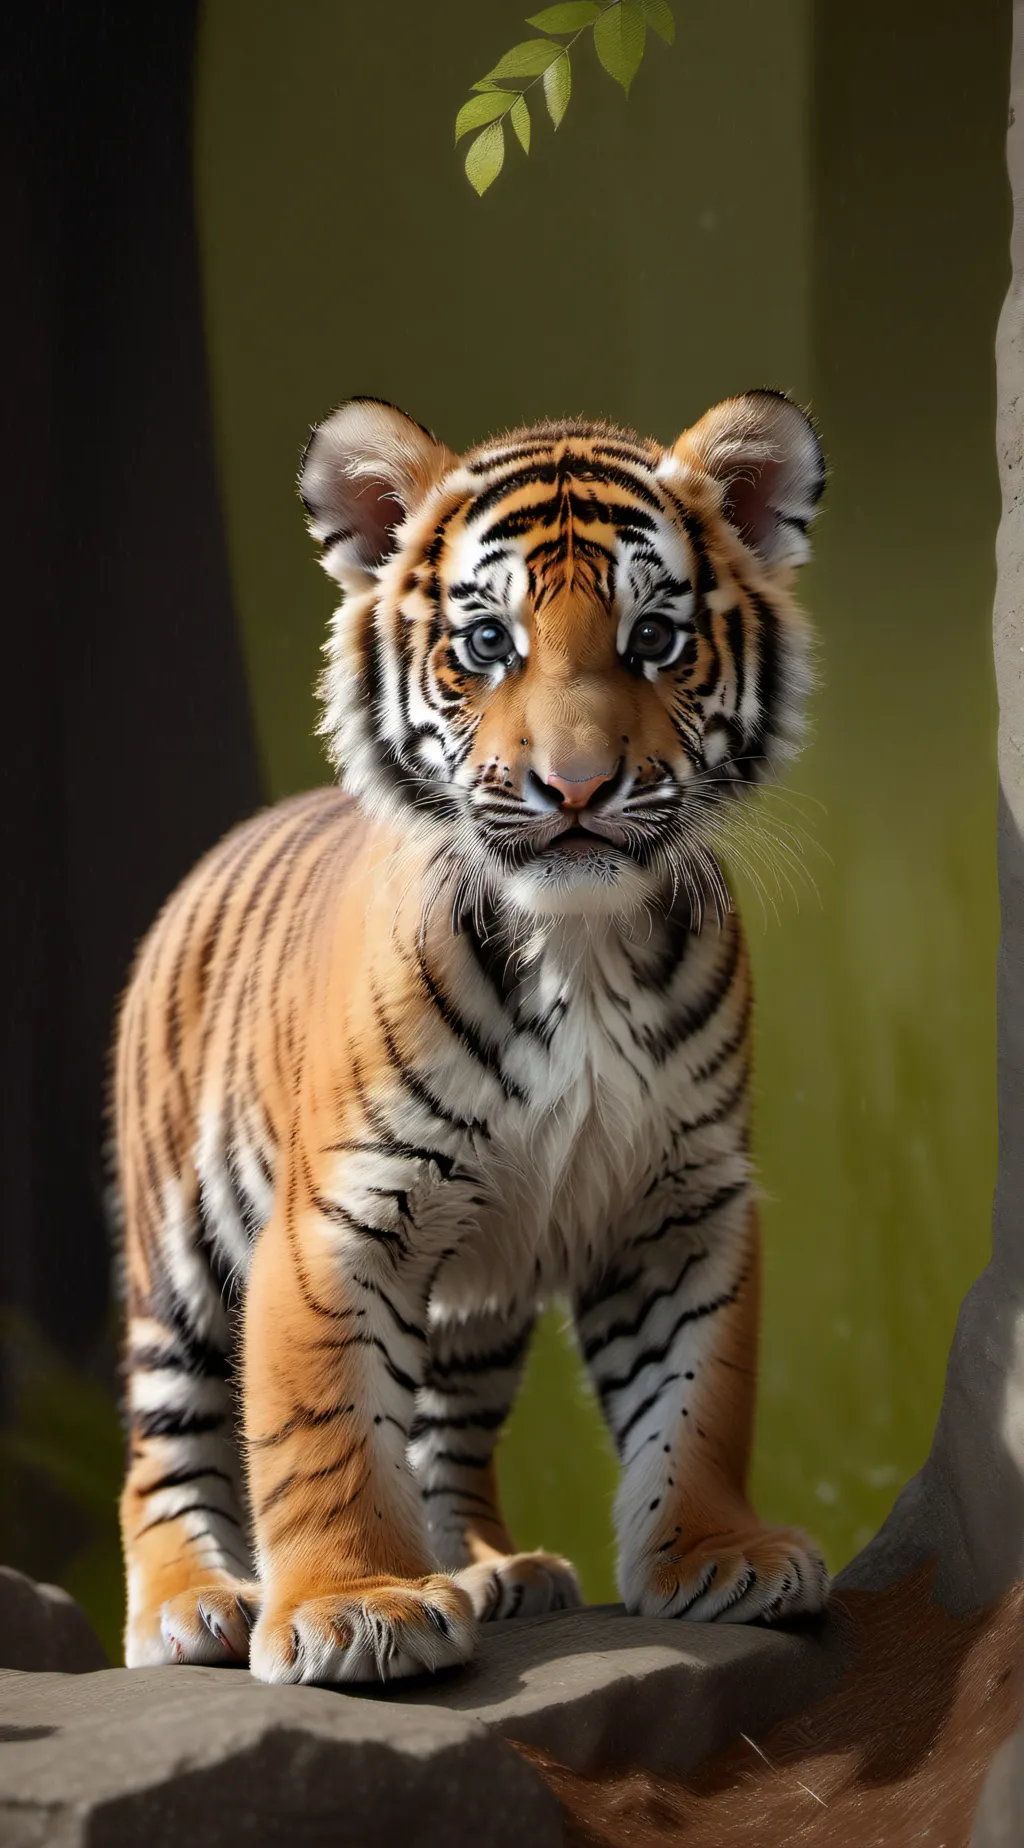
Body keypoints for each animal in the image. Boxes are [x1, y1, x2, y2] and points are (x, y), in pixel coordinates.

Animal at [116, 389, 829, 1685]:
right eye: (488, 643)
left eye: (656, 638)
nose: (578, 787)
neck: (579, 946)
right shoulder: (338, 1217)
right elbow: (323, 1424)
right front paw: (355, 1606)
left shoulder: (682, 1202)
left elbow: (697, 1394)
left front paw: (720, 1554)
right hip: (183, 1248)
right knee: (166, 1435)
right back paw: (189, 1604)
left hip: (473, 1295)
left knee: (444, 1433)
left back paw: (495, 1569)